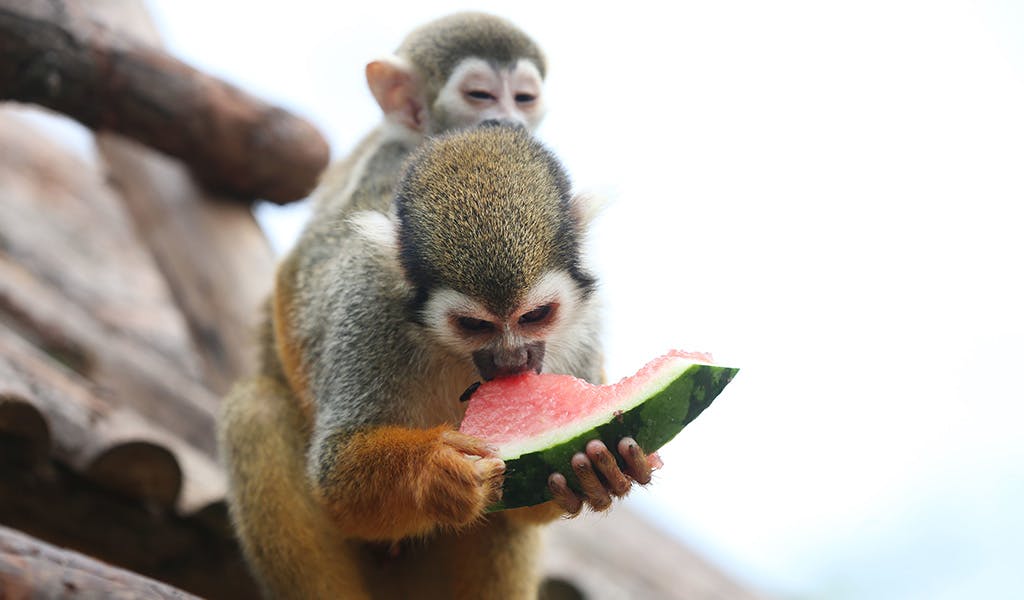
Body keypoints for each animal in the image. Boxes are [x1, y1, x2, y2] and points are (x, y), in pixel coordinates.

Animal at [220, 14, 659, 597]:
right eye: (472, 325)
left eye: (535, 317)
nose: (513, 361)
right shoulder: (369, 302)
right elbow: (336, 475)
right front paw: (432, 472)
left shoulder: (583, 324)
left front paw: (599, 467)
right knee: (256, 411)